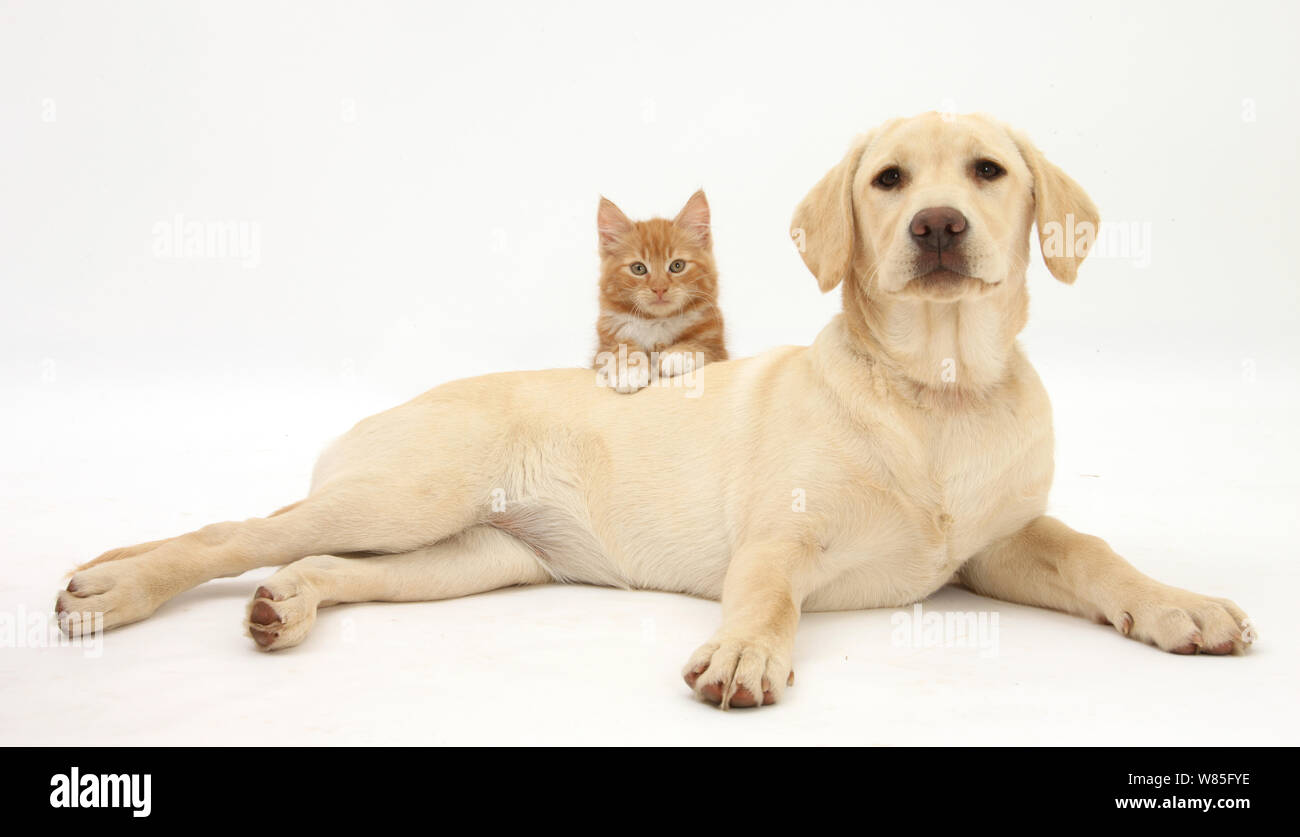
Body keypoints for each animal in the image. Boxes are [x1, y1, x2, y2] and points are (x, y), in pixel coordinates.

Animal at [592, 191, 728, 395]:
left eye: (677, 265)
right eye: (638, 268)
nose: (659, 288)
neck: (657, 322)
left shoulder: (718, 349)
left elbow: (699, 345)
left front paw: (678, 355)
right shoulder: (604, 347)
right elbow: (619, 349)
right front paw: (629, 370)